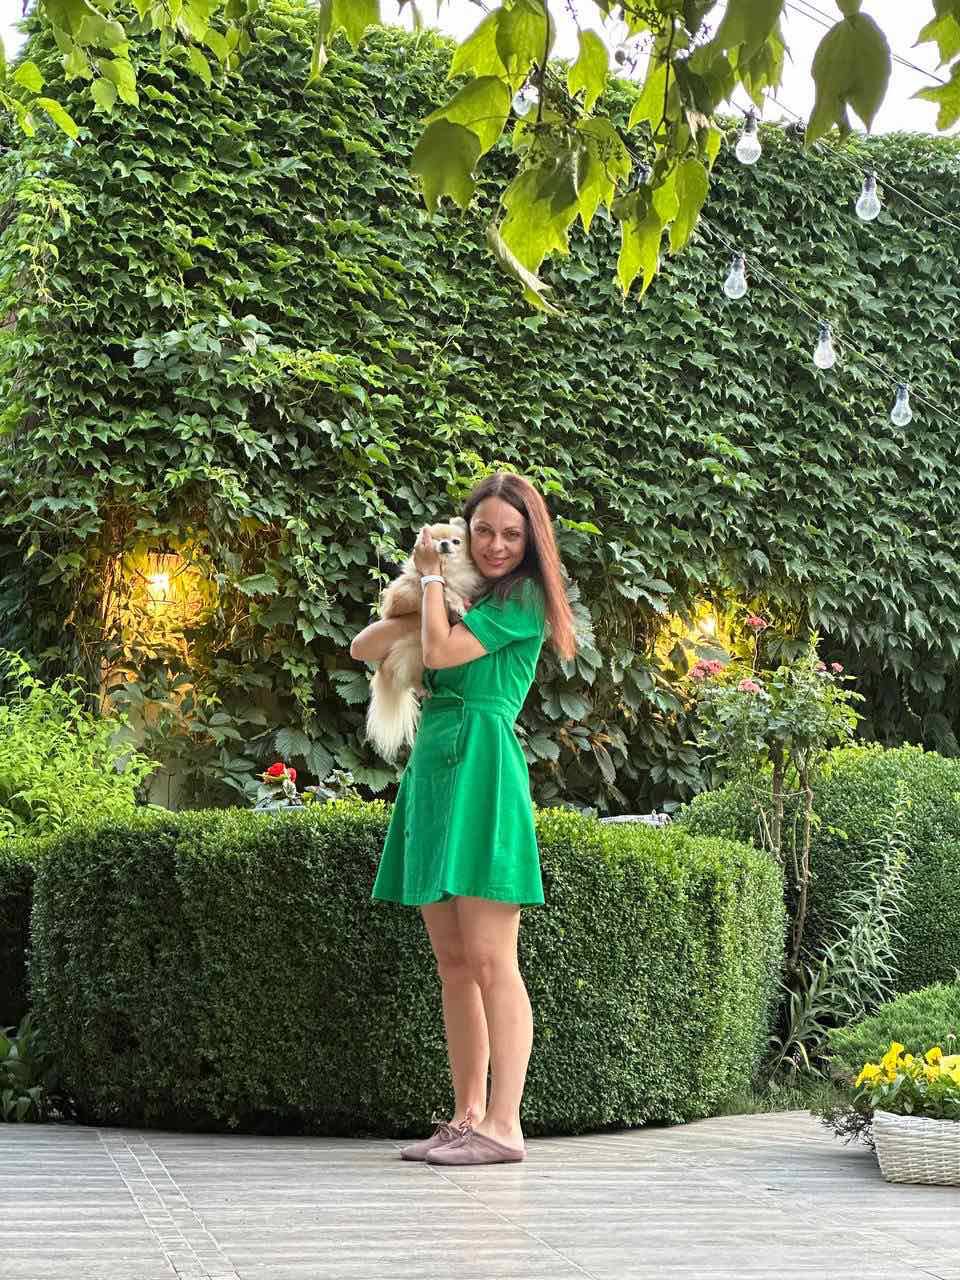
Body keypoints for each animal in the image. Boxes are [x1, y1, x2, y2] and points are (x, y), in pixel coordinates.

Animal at [365, 518, 485, 761]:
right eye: (436, 540)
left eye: (456, 541)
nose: (445, 544)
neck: (447, 568)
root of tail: (383, 668)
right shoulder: (404, 594)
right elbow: (439, 587)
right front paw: (454, 602)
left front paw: (458, 608)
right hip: (414, 652)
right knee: (410, 677)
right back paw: (421, 688)